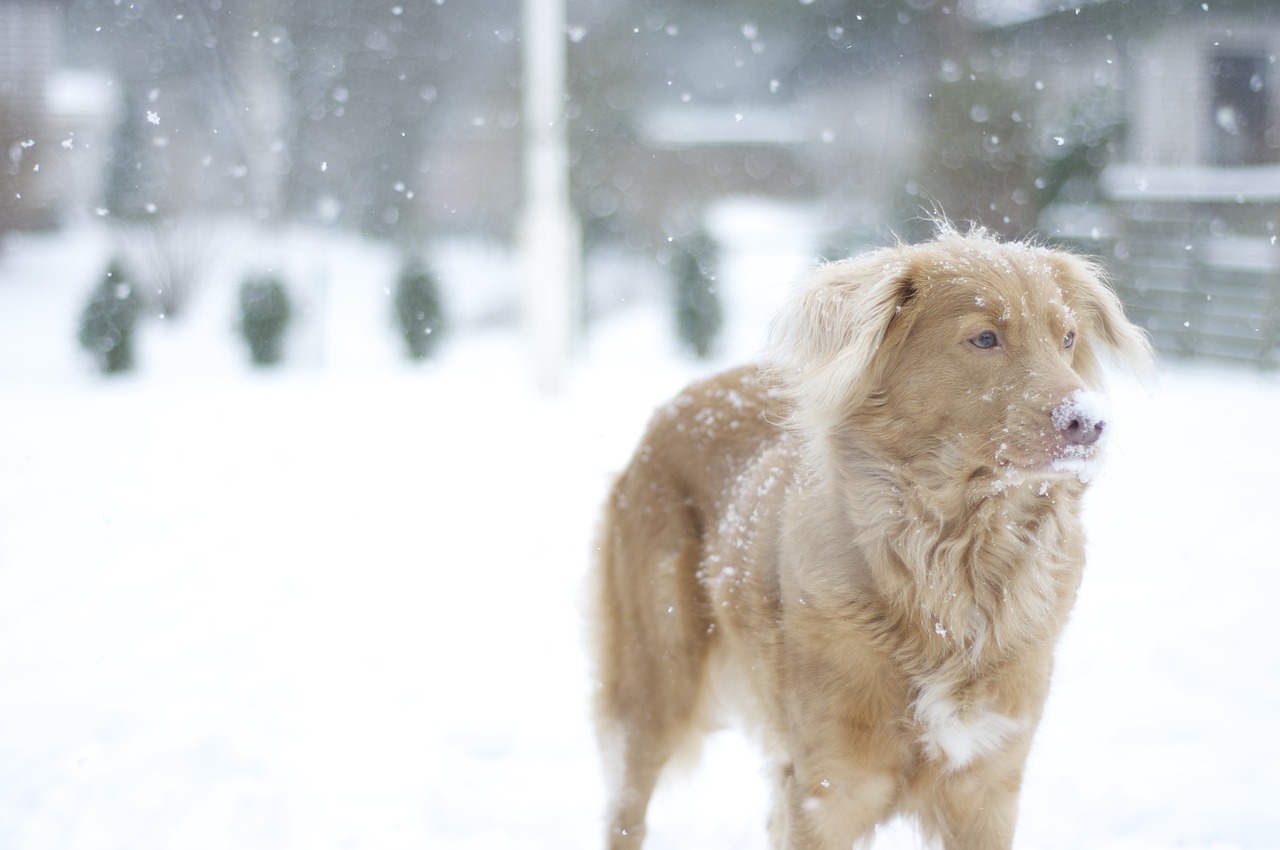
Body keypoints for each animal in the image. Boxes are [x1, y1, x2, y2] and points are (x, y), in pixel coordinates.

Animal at [588, 225, 1152, 850]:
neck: (953, 565)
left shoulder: (987, 788)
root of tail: (683, 398)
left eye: (1067, 338)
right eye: (984, 337)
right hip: (656, 679)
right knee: (626, 809)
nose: (1091, 423)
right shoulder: (827, 791)